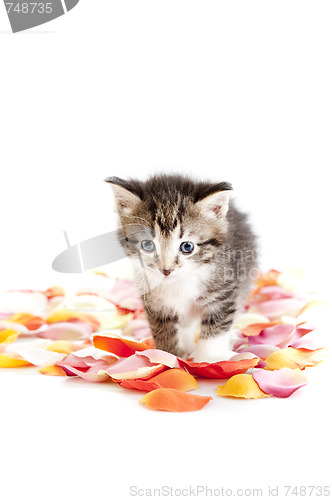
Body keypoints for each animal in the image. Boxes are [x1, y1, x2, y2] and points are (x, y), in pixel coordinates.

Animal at [106, 174, 256, 362]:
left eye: (187, 247)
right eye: (147, 245)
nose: (166, 270)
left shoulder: (224, 292)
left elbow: (216, 328)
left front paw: (207, 361)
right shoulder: (154, 302)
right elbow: (164, 330)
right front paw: (168, 358)